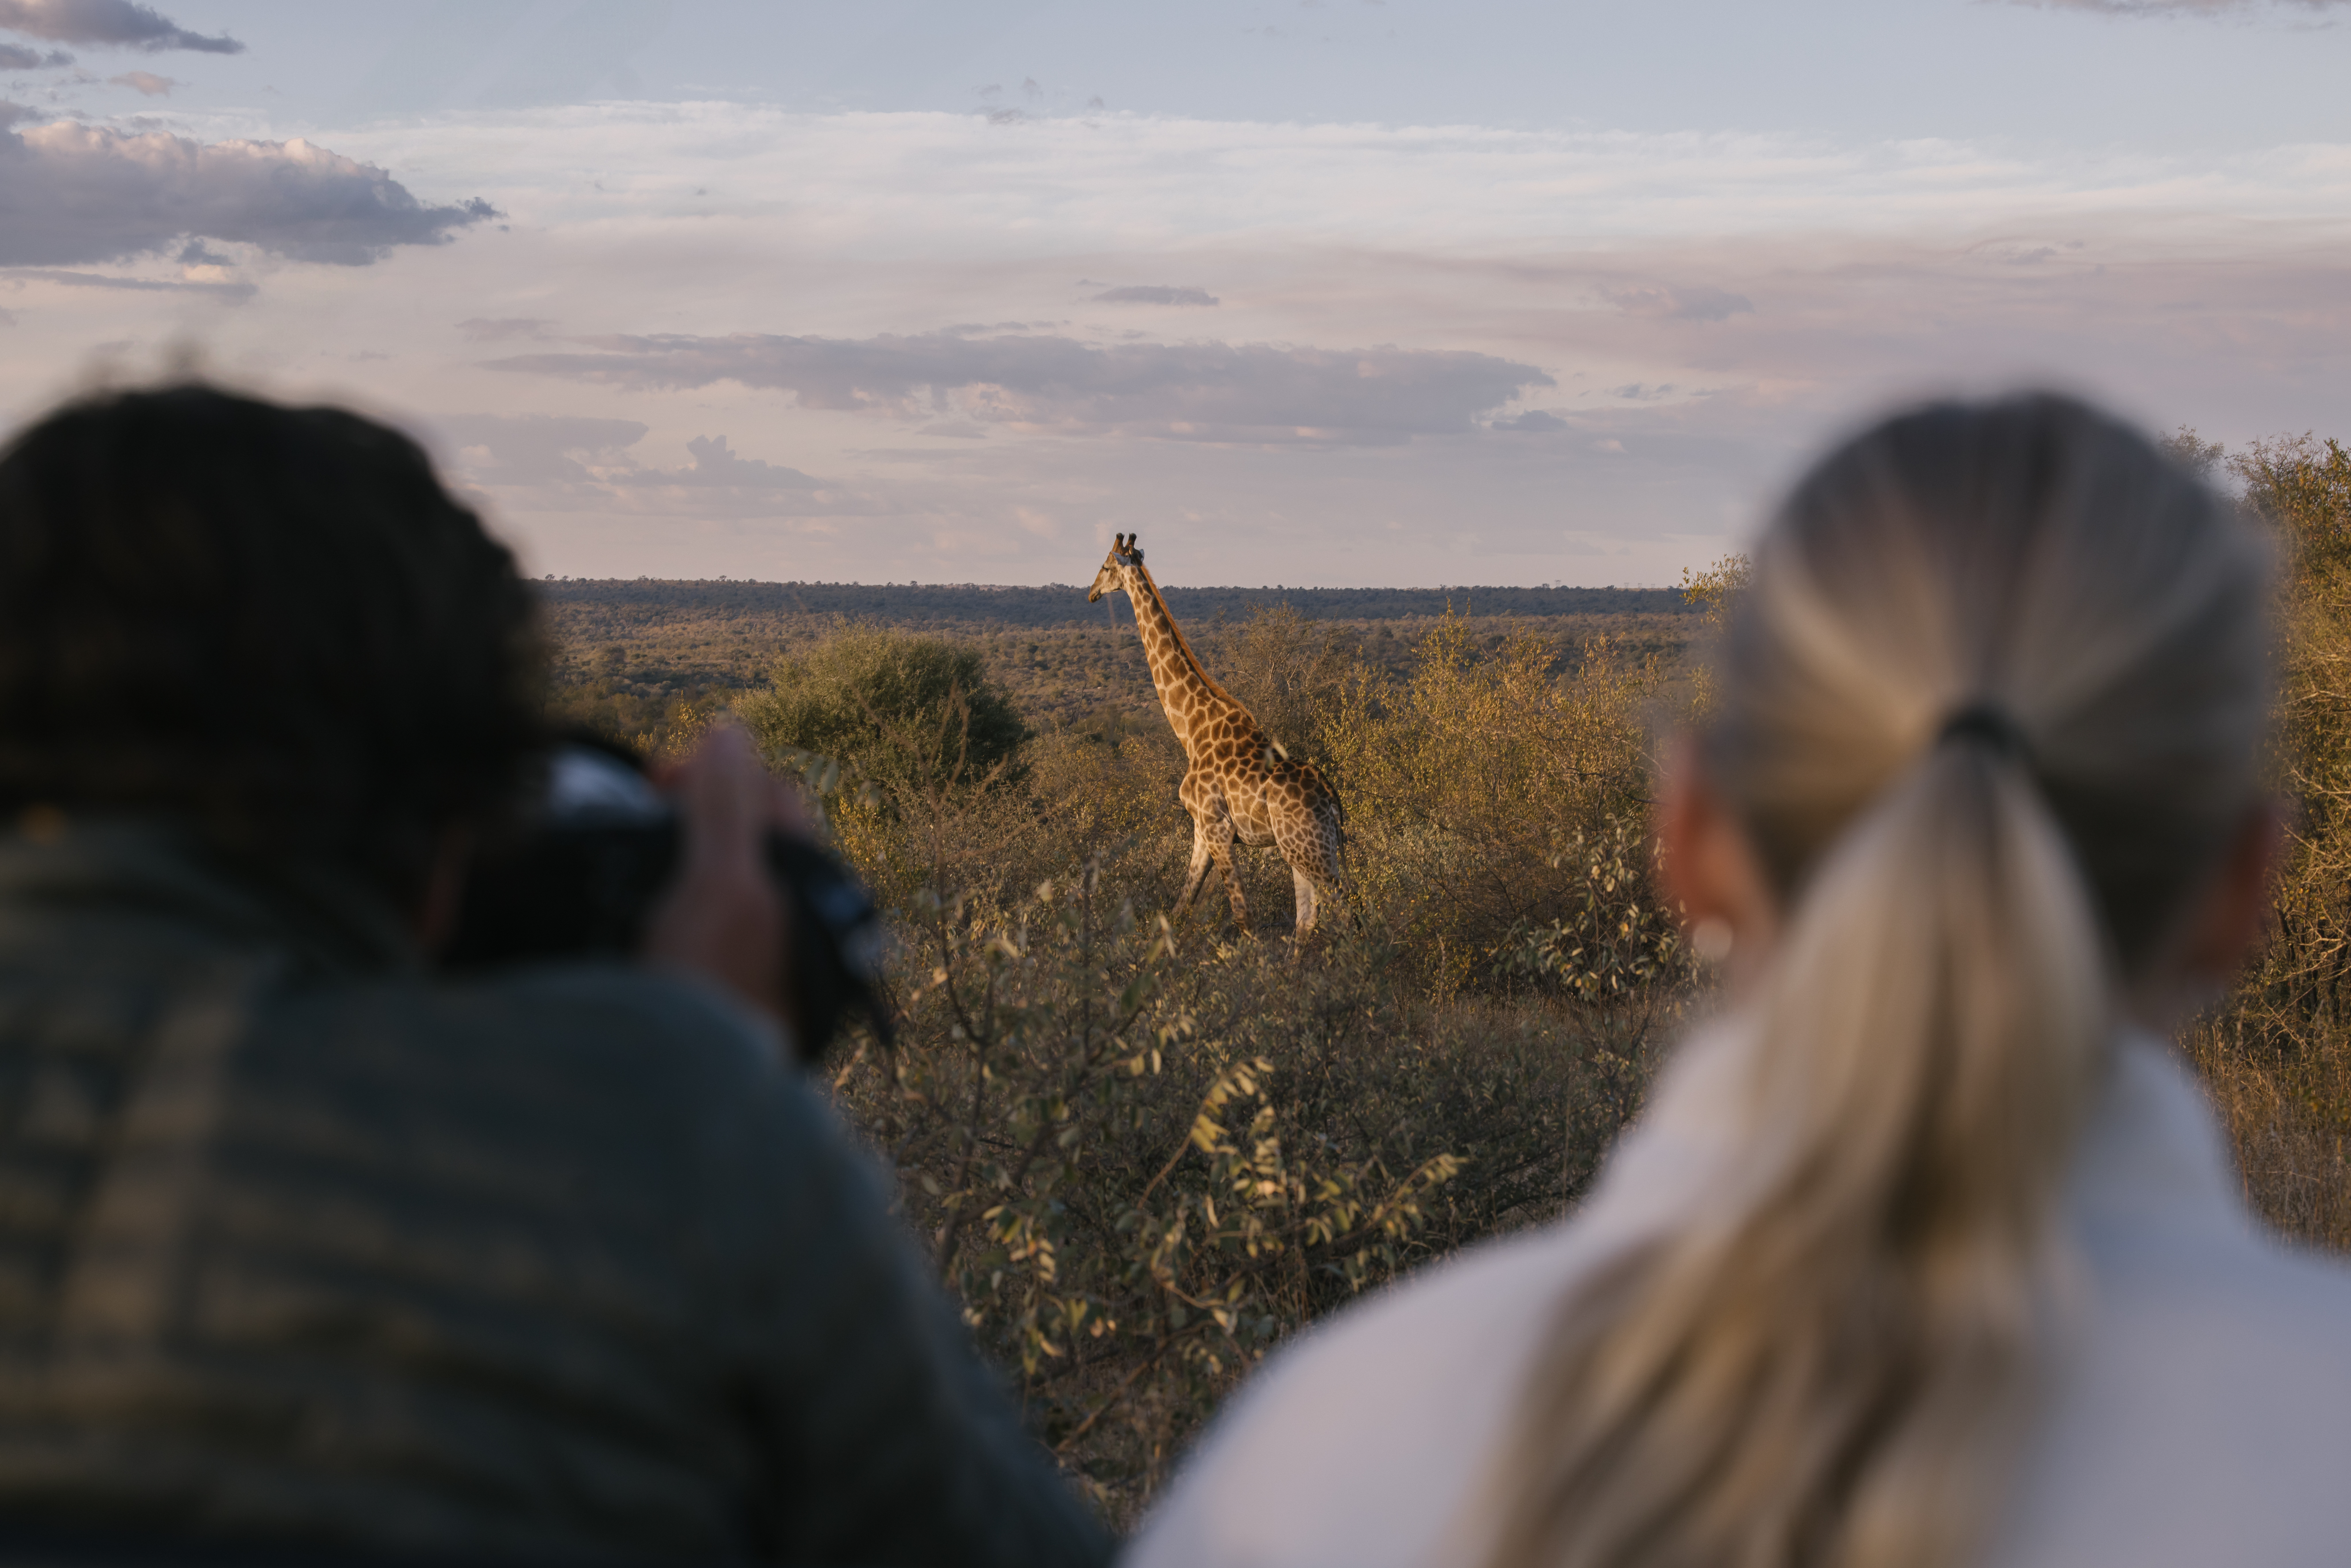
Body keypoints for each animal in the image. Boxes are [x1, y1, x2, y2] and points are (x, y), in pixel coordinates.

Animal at [1088, 532, 1348, 940]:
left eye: (1104, 565)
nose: (1091, 593)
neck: (1192, 730)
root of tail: (1331, 800)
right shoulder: (1200, 830)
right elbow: (1180, 907)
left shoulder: (1217, 828)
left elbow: (1244, 917)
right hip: (1304, 849)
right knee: (1307, 919)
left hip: (1309, 850)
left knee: (1347, 916)